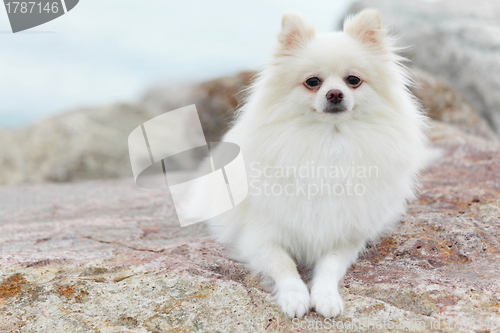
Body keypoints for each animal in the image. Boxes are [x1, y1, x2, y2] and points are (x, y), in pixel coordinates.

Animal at [191, 9, 430, 318]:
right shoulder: (259, 235)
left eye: (353, 80)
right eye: (313, 81)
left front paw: (326, 296)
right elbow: (283, 264)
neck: (329, 142)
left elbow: (330, 266)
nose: (335, 94)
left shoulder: (346, 237)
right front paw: (294, 297)